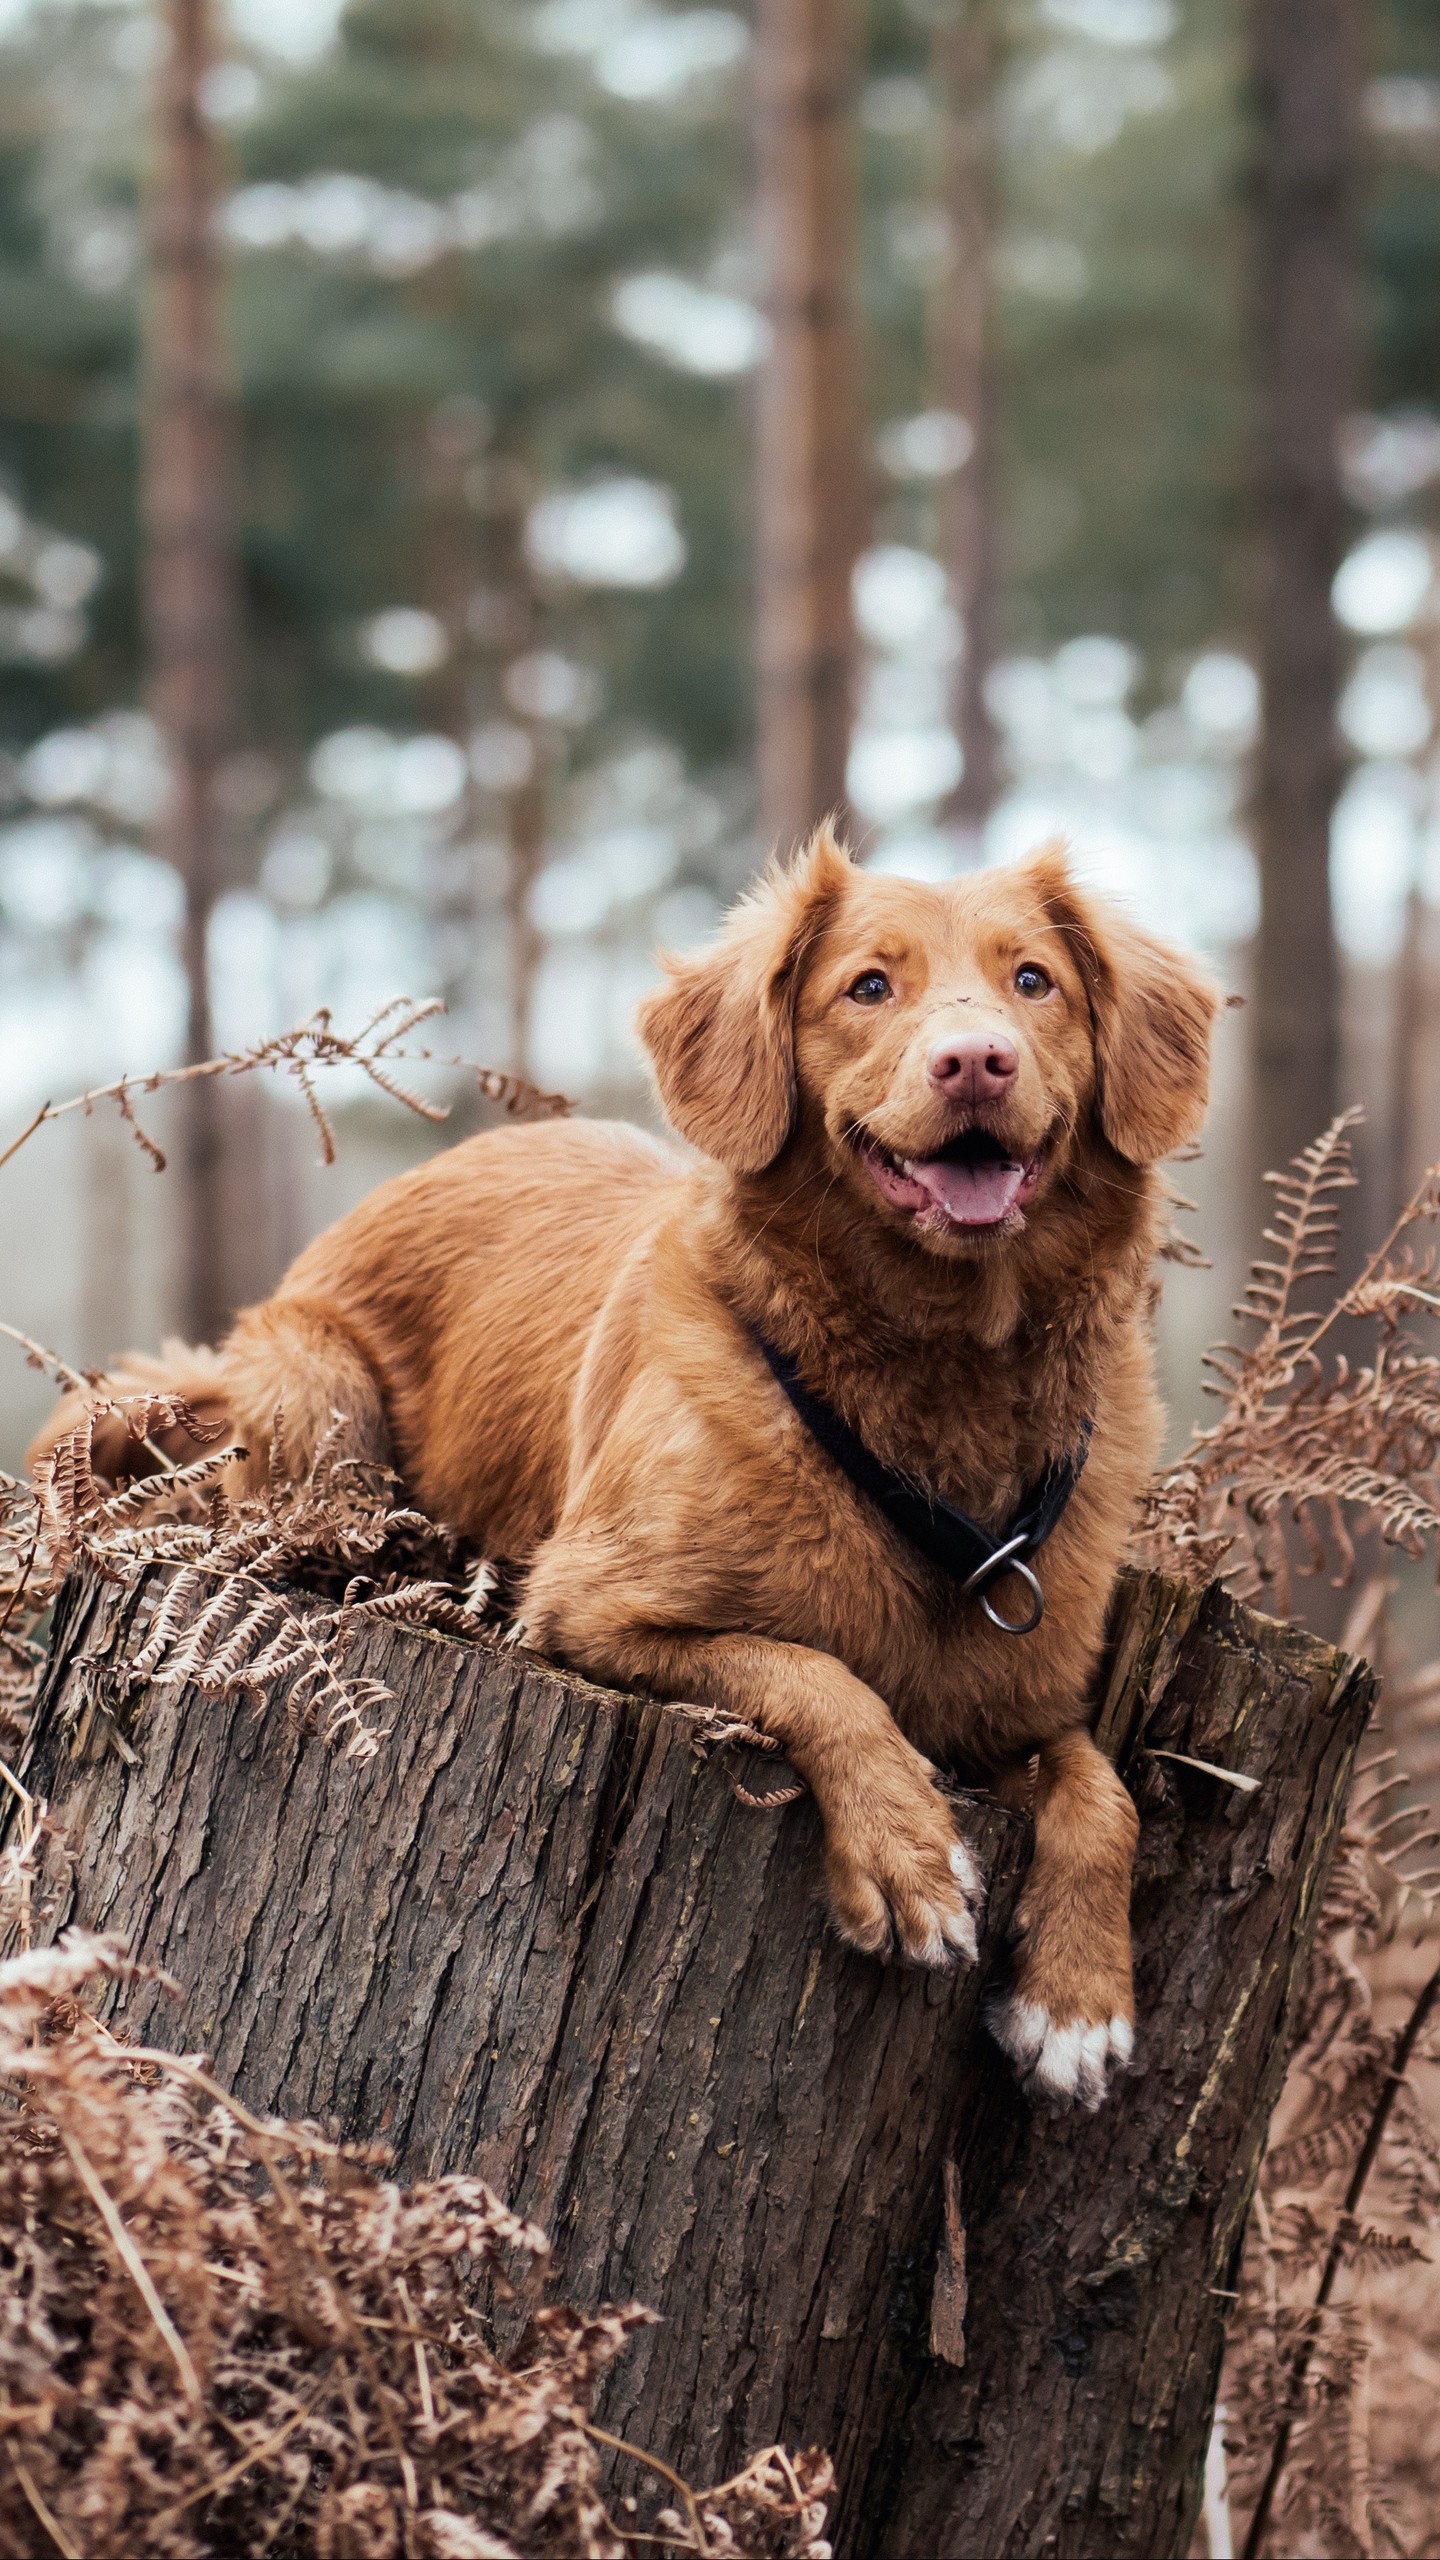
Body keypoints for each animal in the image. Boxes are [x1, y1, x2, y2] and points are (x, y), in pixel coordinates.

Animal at [36, 834, 1209, 2099]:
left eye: (1034, 980)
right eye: (868, 986)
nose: (977, 1061)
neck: (938, 1383)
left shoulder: (1019, 1705)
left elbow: (1106, 1790)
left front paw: (1079, 1999)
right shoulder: (591, 1609)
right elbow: (814, 1671)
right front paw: (908, 1852)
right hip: (317, 1393)